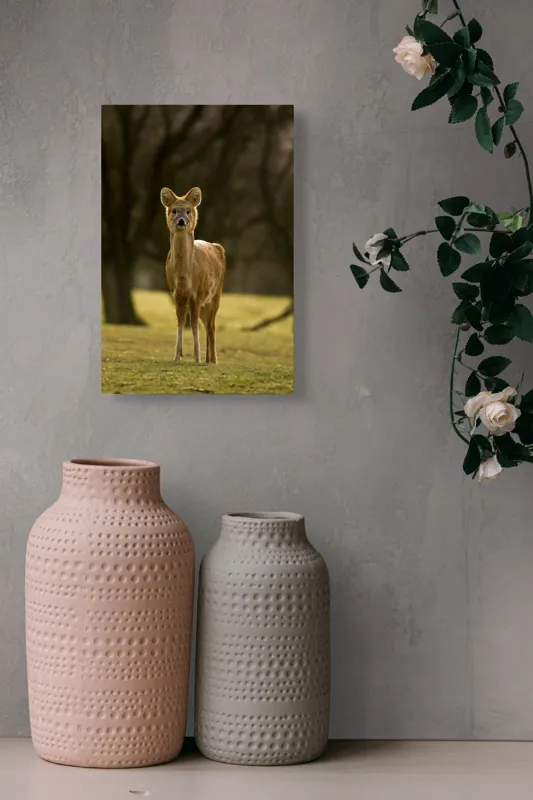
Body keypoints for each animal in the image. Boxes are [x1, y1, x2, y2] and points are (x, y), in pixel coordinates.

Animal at [160, 186, 226, 364]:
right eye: (174, 211)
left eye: (188, 211)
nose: (181, 221)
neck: (185, 276)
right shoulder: (175, 292)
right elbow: (181, 322)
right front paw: (177, 357)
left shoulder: (197, 293)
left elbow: (194, 324)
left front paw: (197, 358)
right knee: (207, 324)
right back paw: (209, 359)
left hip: (216, 293)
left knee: (211, 325)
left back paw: (213, 360)